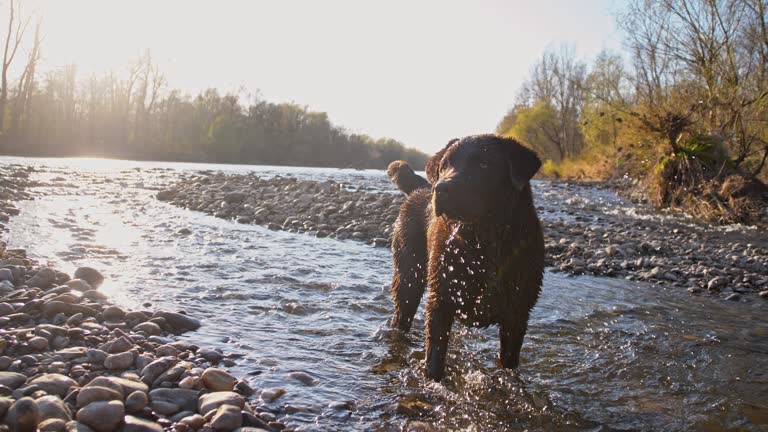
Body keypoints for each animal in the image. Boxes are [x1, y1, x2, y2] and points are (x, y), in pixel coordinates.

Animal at [388, 134, 544, 382]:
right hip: (408, 276)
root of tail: (422, 187)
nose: (441, 188)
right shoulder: (440, 300)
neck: (484, 243)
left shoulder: (518, 313)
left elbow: (509, 361)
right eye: (444, 165)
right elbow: (435, 354)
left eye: (484, 164)